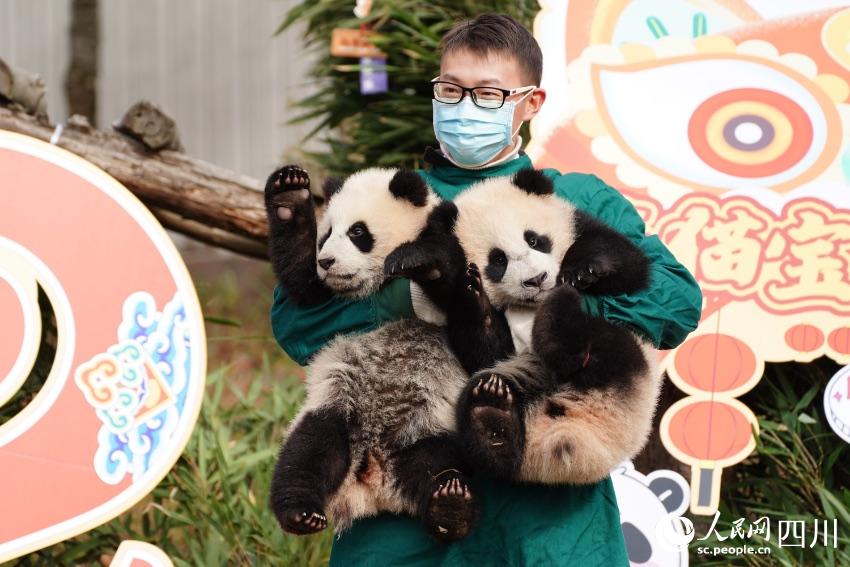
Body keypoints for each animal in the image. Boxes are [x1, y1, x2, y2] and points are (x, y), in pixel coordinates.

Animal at [264, 165, 477, 542]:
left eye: (357, 232)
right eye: (326, 234)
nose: (327, 261)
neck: (372, 285)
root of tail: (374, 482)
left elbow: (456, 288)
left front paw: (421, 259)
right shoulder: (322, 292)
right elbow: (302, 286)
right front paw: (289, 196)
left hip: (429, 428)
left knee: (435, 464)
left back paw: (450, 507)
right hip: (336, 402)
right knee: (309, 453)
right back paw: (299, 512)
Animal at [385, 168, 663, 484]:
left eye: (535, 240)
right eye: (498, 259)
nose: (537, 280)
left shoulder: (581, 225)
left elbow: (628, 262)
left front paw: (583, 269)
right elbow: (484, 349)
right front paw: (437, 272)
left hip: (631, 356)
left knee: (595, 338)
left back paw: (559, 310)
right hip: (520, 378)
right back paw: (492, 417)